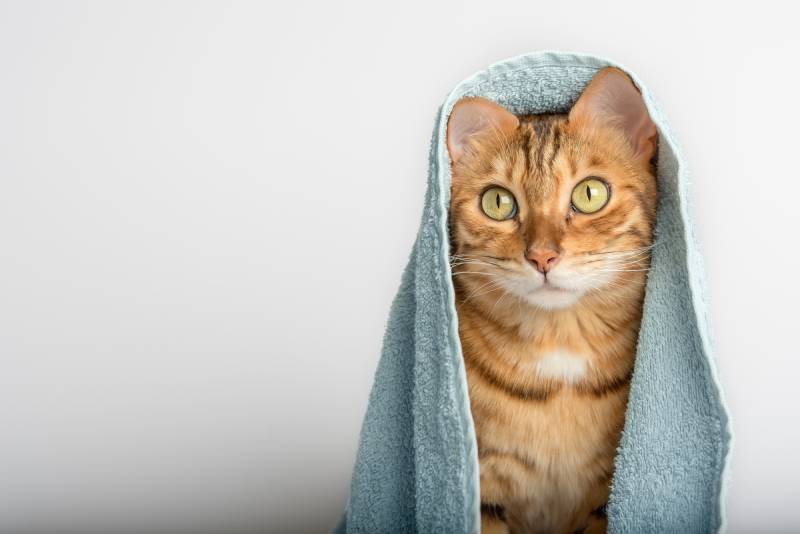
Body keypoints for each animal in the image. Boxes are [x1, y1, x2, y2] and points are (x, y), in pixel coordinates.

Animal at [444, 68, 656, 534]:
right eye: (497, 201)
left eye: (590, 193)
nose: (541, 256)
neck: (560, 346)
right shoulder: (484, 488)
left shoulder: (603, 495)